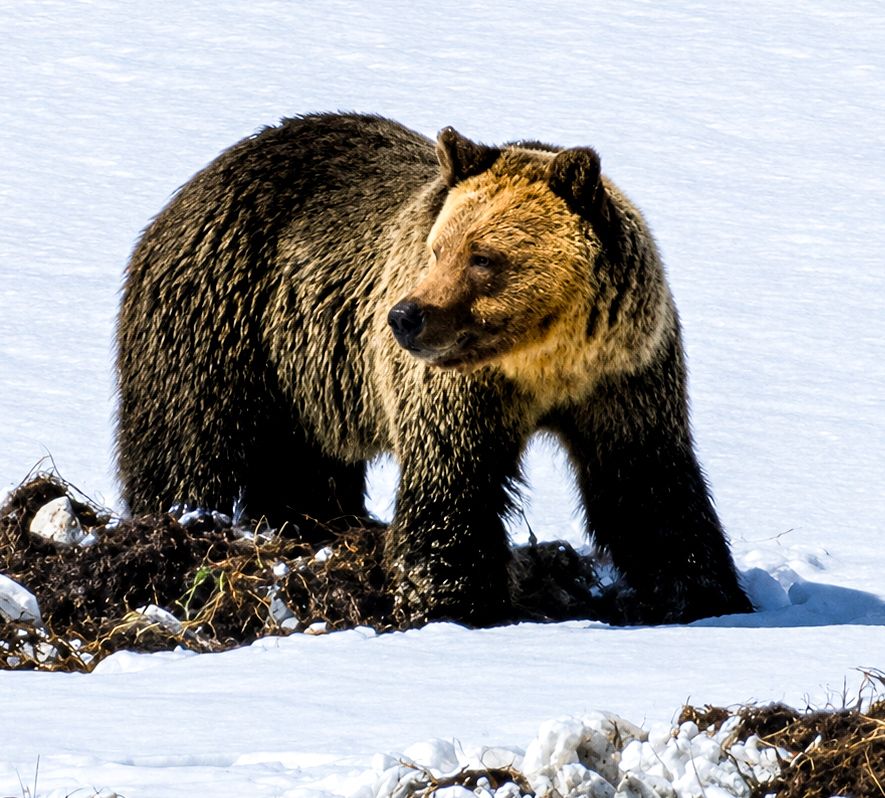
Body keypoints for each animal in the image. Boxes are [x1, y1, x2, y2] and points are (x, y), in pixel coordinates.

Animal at [116, 112, 752, 627]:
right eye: (437, 248)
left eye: (483, 257)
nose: (405, 317)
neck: (543, 360)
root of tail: (201, 178)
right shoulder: (456, 388)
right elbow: (450, 487)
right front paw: (455, 601)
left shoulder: (625, 374)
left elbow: (648, 484)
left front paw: (703, 593)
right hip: (219, 316)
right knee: (187, 442)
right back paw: (180, 528)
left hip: (303, 383)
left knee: (305, 466)